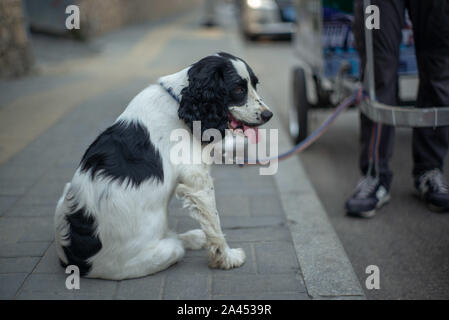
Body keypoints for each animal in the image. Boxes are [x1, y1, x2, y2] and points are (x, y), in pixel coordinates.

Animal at [54, 52, 272, 280]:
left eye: (255, 84)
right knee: (174, 243)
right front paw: (227, 258)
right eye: (238, 89)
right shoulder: (198, 183)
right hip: (161, 254)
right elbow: (214, 223)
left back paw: (194, 237)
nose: (269, 115)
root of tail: (76, 262)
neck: (179, 104)